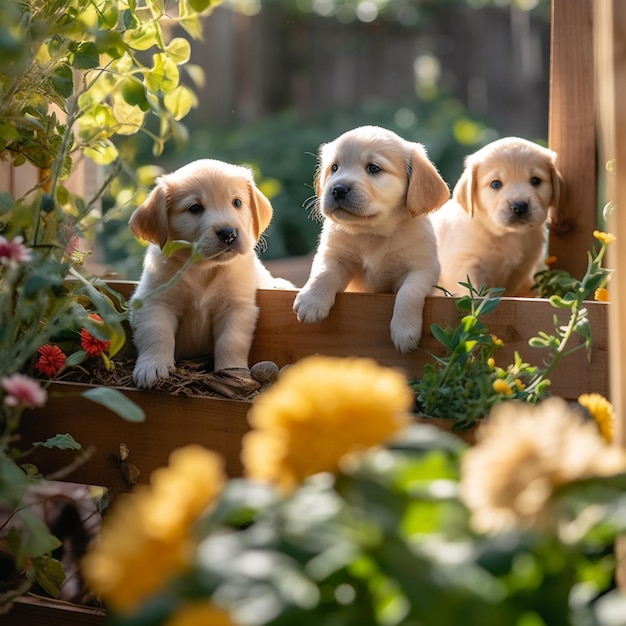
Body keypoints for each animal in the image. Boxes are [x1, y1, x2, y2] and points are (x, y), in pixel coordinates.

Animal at [129, 158, 292, 388]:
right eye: (194, 208)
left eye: (237, 202)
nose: (228, 234)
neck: (204, 270)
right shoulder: (154, 301)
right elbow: (157, 332)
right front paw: (152, 367)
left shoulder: (236, 307)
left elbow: (231, 341)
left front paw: (233, 373)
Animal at [292, 125, 448, 352]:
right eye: (335, 168)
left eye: (373, 168)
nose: (337, 189)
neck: (372, 232)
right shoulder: (334, 255)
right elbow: (323, 273)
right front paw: (311, 301)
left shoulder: (423, 268)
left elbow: (409, 292)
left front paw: (404, 331)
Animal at [428, 136, 560, 294]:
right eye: (495, 184)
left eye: (536, 180)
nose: (519, 207)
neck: (508, 235)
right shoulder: (463, 262)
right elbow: (472, 289)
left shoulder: (519, 269)